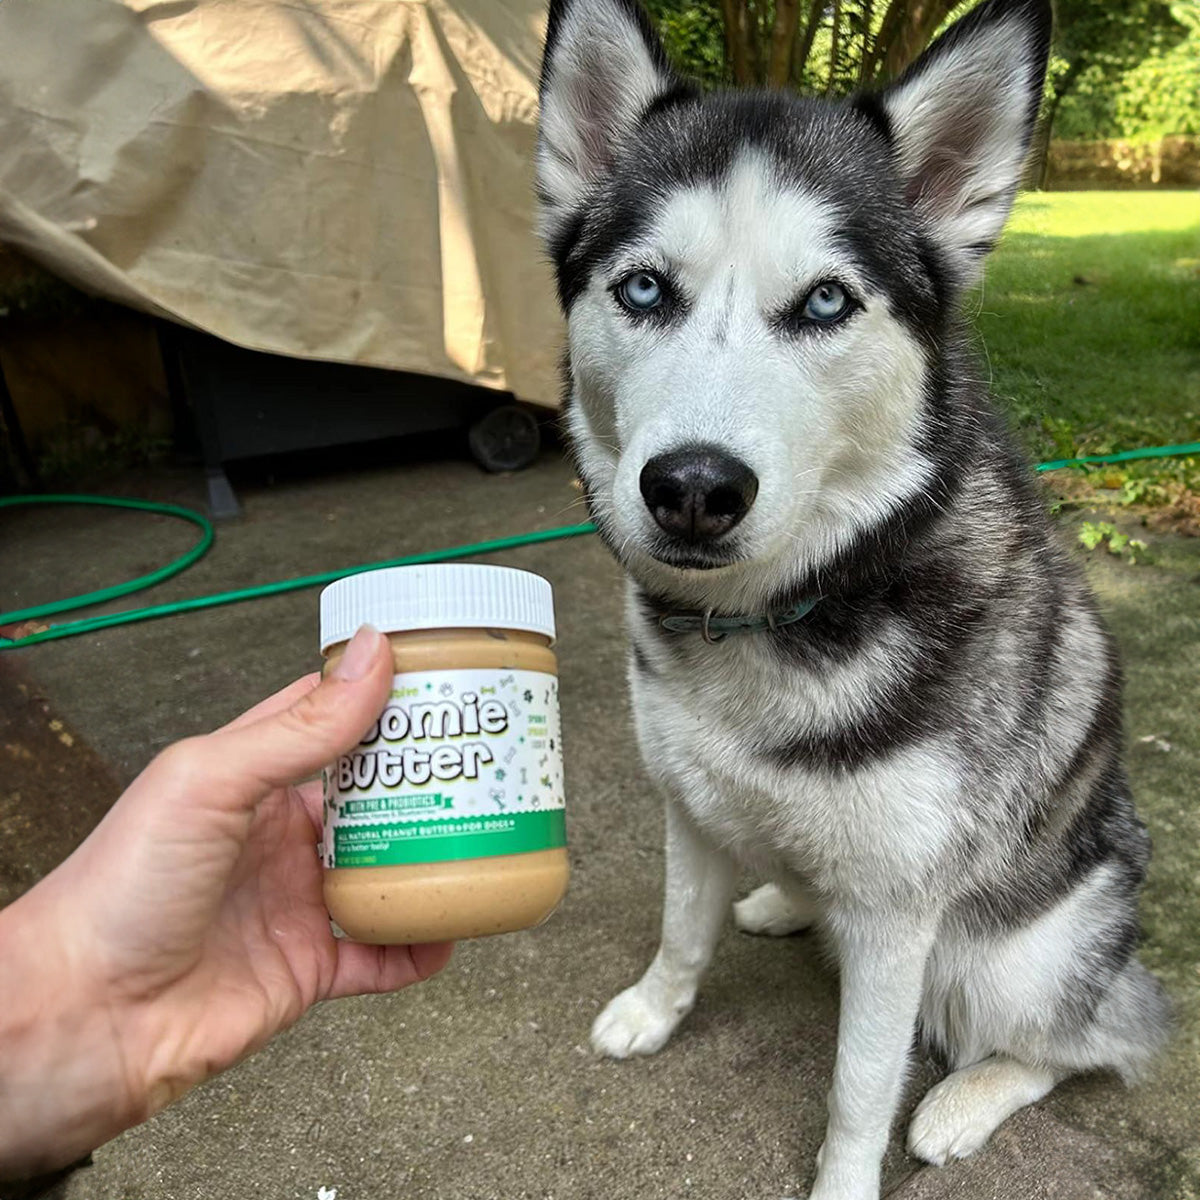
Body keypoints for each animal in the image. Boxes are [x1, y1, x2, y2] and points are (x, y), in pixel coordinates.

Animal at [537, 0, 1171, 1195]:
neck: (767, 617)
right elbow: (682, 932)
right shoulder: (686, 802)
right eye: (643, 288)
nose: (694, 489)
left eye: (826, 300)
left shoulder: (896, 917)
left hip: (1017, 955)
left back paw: (968, 1102)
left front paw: (845, 1175)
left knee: (1080, 1044)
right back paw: (785, 899)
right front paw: (653, 1010)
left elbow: (862, 1084)